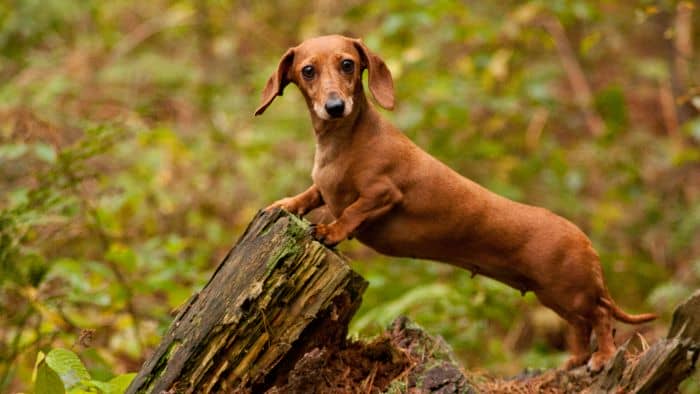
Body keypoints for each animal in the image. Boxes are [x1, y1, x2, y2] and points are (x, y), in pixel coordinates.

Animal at [258, 35, 656, 370]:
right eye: (308, 70)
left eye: (347, 64)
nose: (335, 106)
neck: (343, 142)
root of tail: (586, 241)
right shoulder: (324, 188)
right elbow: (311, 195)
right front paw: (284, 205)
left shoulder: (382, 193)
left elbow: (352, 211)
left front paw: (330, 230)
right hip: (555, 297)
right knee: (581, 326)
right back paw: (576, 360)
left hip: (570, 292)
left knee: (601, 319)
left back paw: (601, 358)